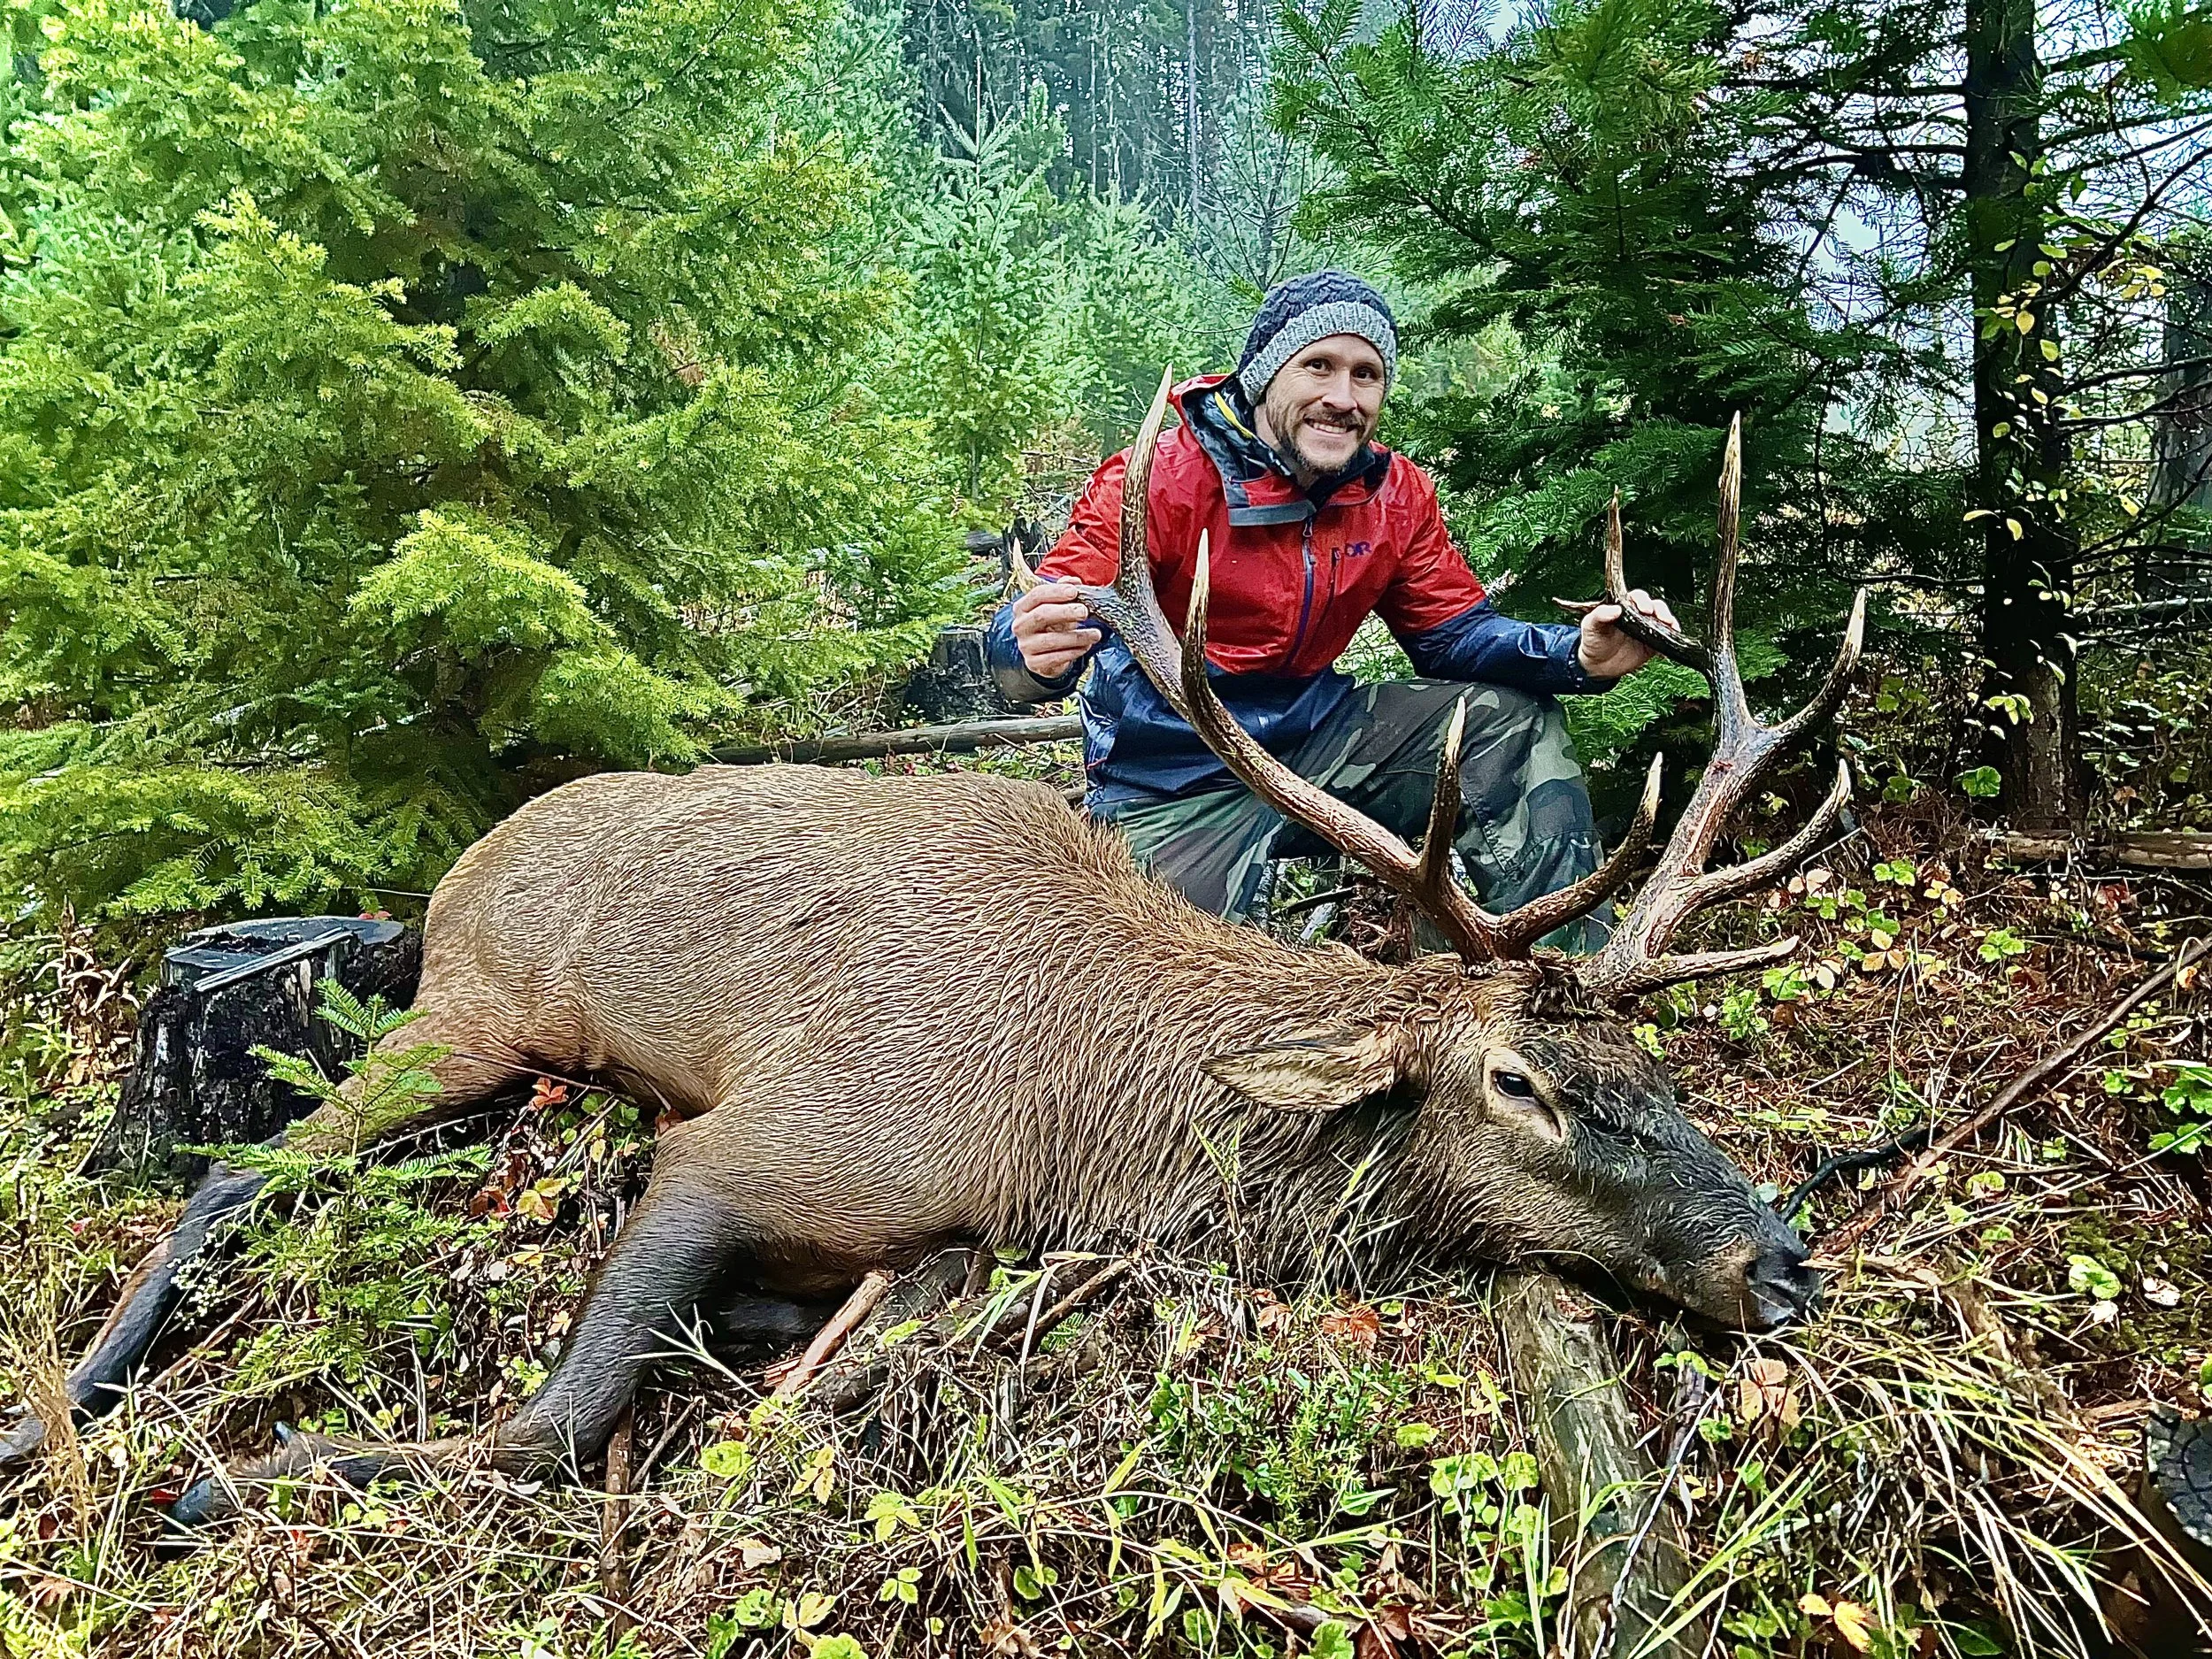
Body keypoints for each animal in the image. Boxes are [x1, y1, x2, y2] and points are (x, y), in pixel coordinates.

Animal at [1, 378, 1864, 1527]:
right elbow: (550, 1423)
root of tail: (466, 859)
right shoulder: (757, 1142)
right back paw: (65, 1413)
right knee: (239, 1174)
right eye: (1521, 1083)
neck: (1073, 1126)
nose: (1781, 1264)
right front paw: (232, 1478)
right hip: (474, 1008)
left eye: (1656, 1070)